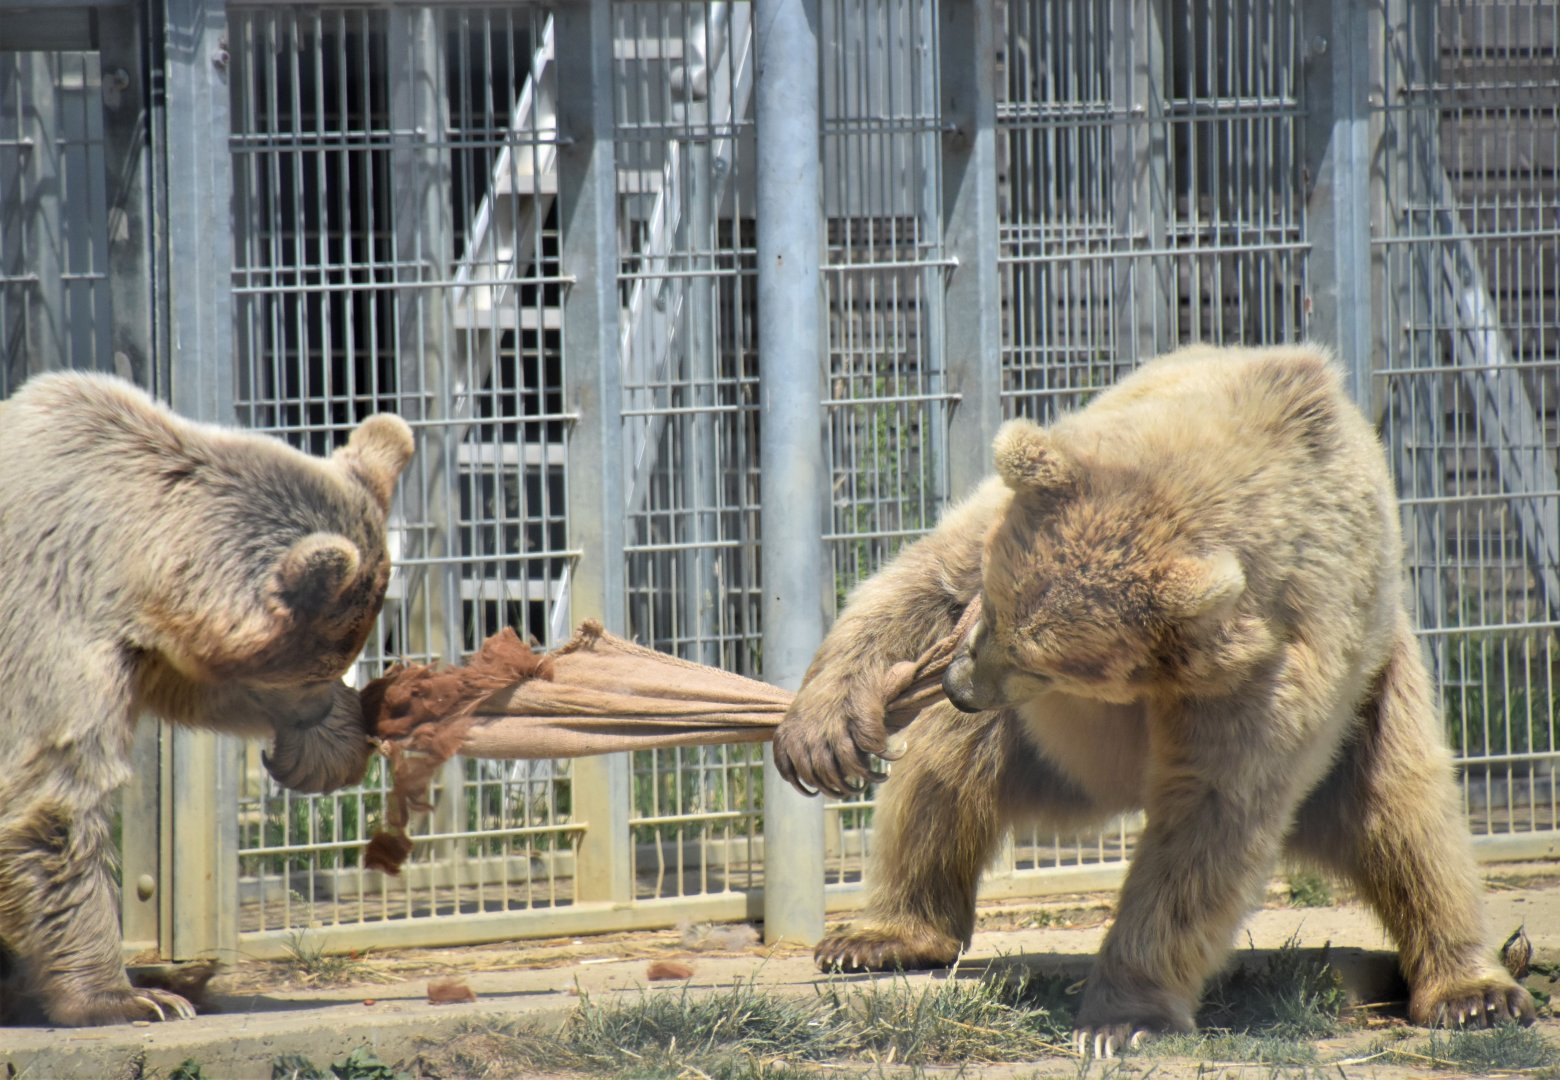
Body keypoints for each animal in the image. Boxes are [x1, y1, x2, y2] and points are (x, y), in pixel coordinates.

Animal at [0, 371, 413, 1027]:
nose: (325, 712)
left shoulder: (142, 648)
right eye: (314, 671)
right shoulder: (51, 618)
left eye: (343, 658)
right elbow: (56, 796)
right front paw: (124, 998)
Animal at [771, 344, 1534, 1056]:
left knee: (1409, 816)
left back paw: (1473, 991)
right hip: (1029, 742)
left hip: (1374, 700)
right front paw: (822, 737)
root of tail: (1106, 790)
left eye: (1045, 663)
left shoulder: (1268, 675)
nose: (961, 687)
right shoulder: (1028, 512)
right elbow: (916, 579)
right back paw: (878, 936)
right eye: (994, 603)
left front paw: (1119, 1020)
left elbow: (1208, 823)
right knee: (937, 786)